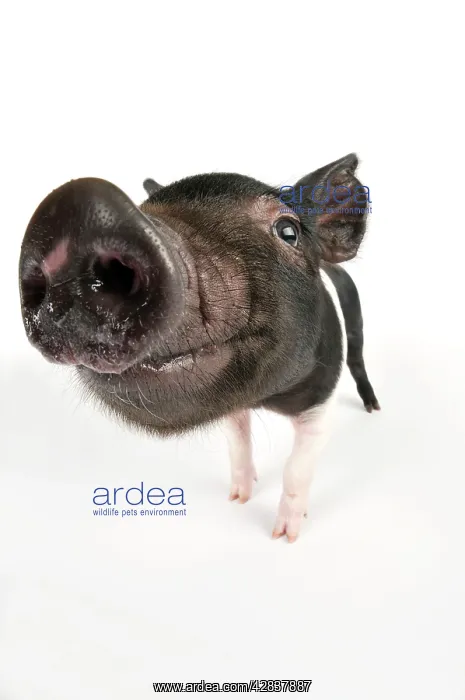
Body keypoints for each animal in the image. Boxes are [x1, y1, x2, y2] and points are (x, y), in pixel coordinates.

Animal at [19, 153, 379, 542]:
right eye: (144, 207)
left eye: (288, 231)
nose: (80, 207)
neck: (264, 397)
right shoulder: (232, 408)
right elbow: (238, 442)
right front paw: (238, 497)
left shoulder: (321, 401)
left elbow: (296, 467)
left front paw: (283, 536)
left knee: (359, 357)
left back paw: (373, 407)